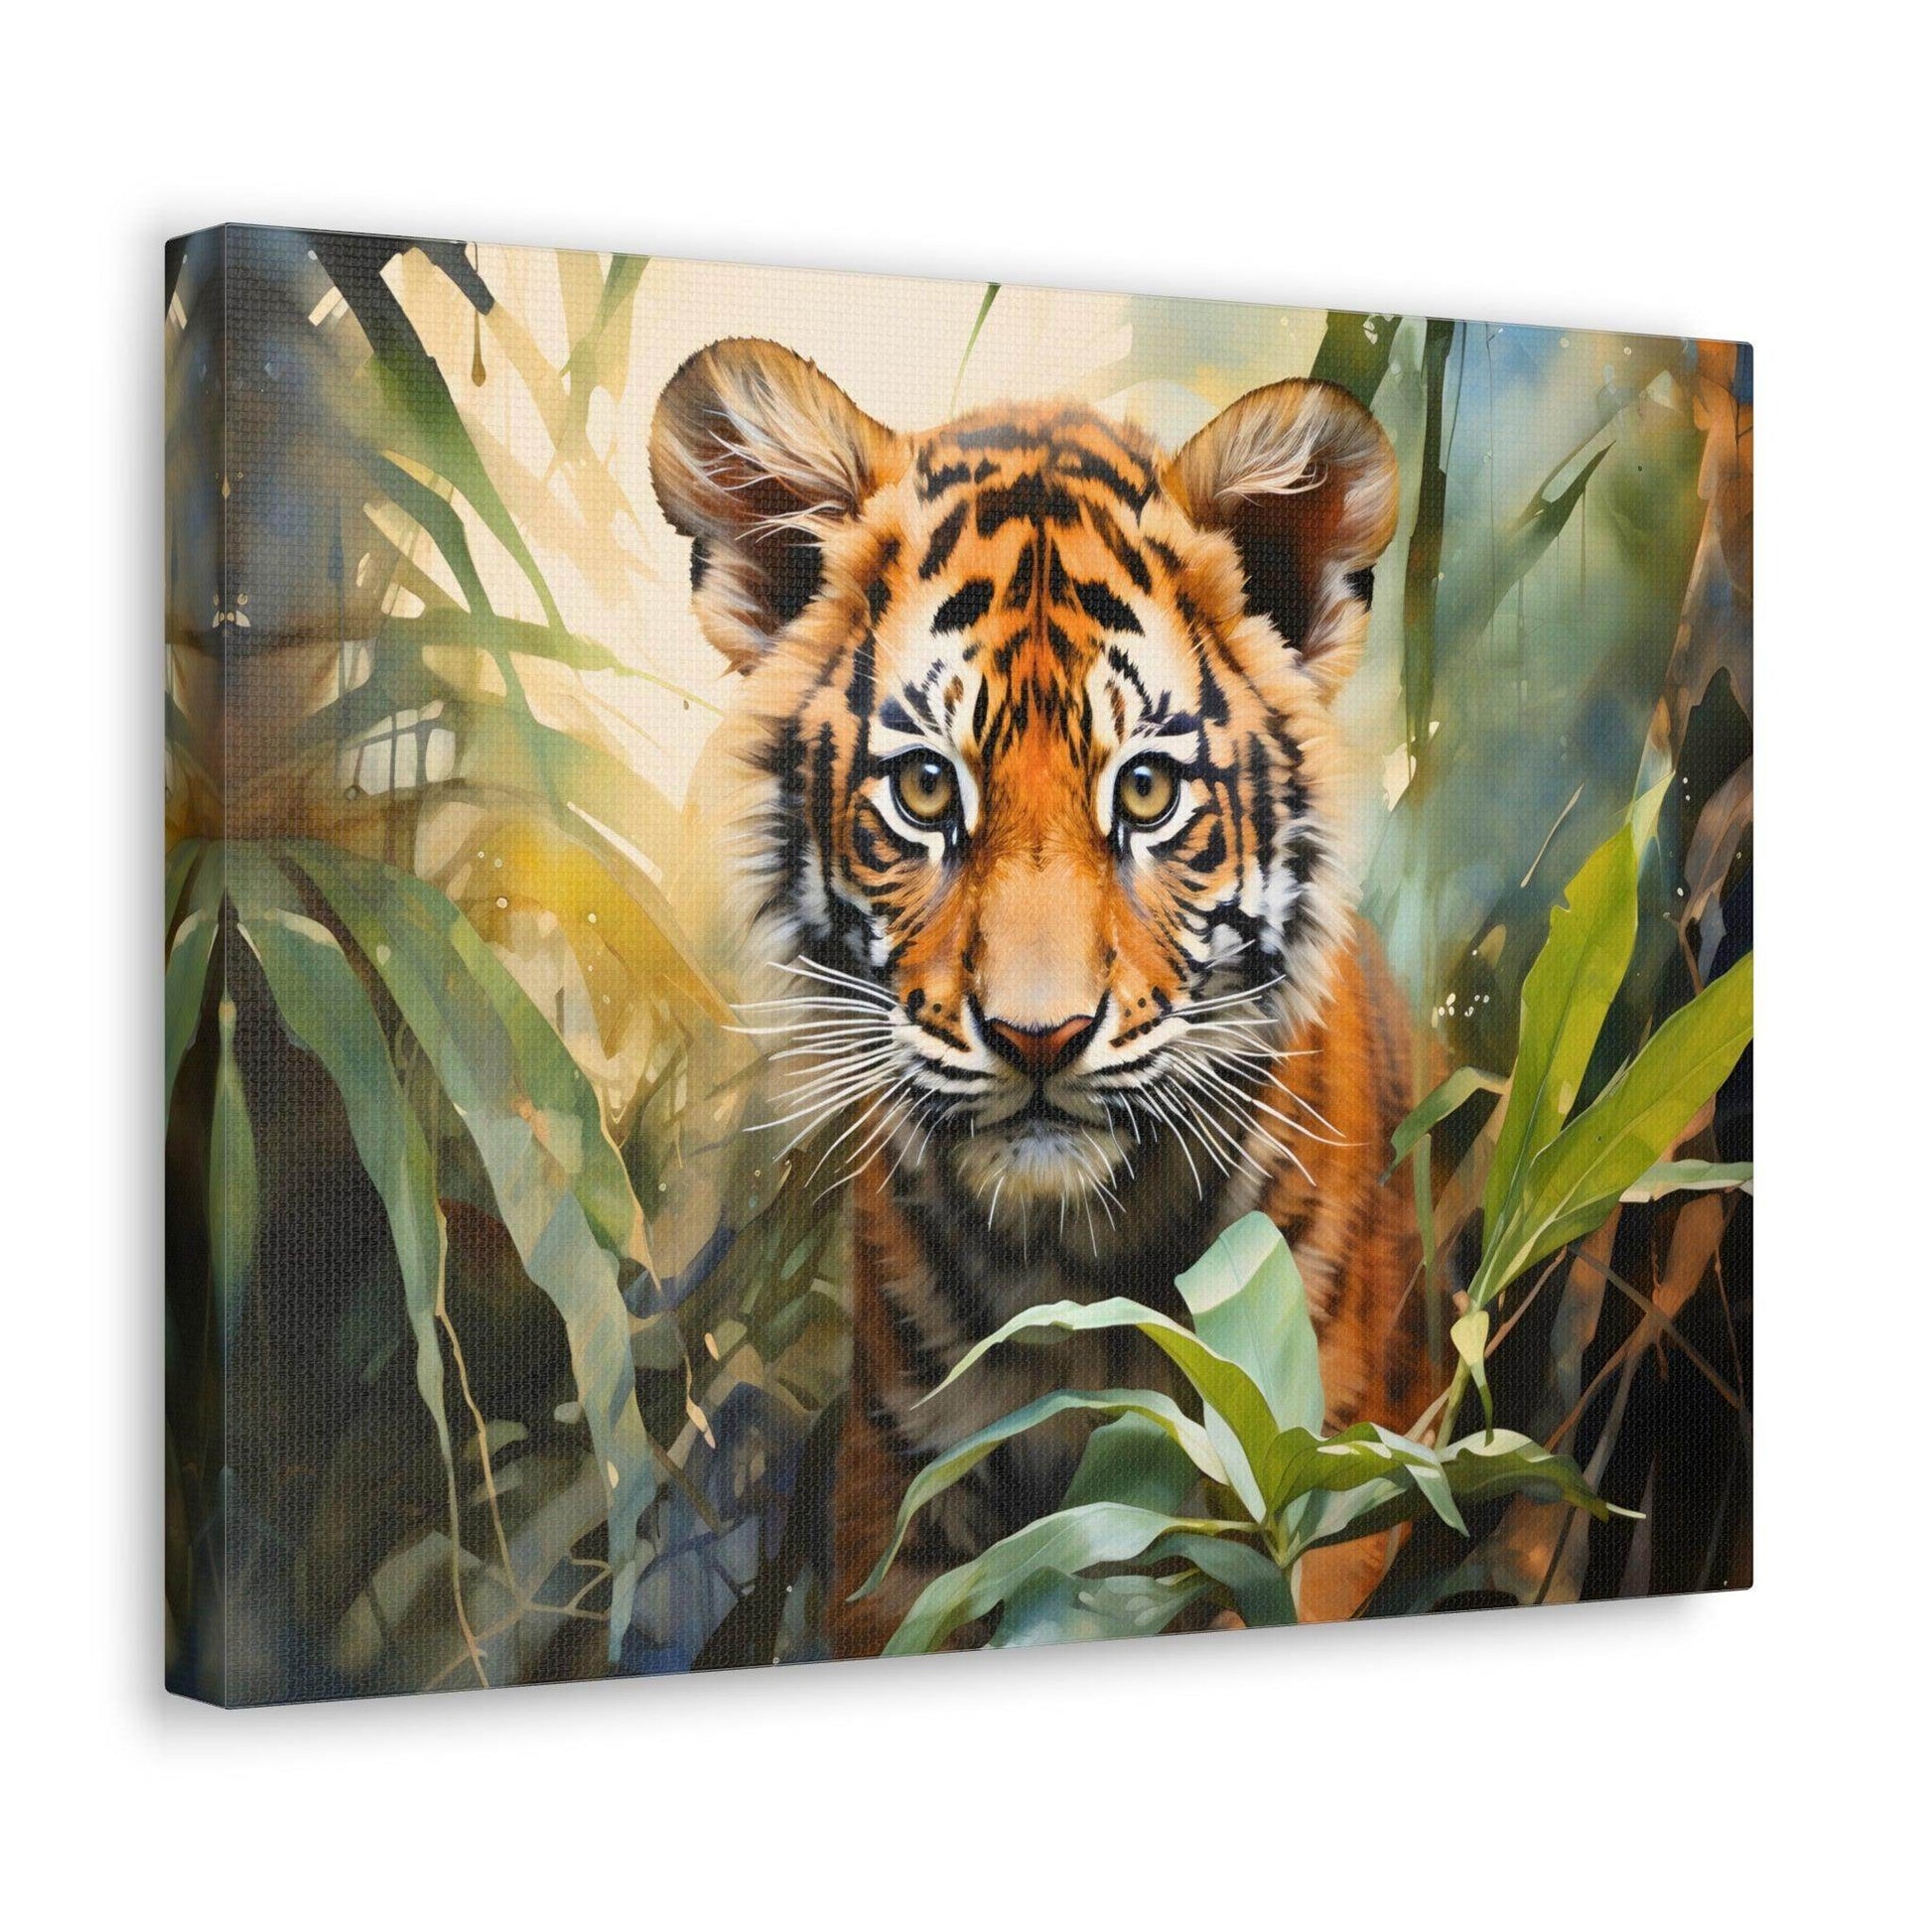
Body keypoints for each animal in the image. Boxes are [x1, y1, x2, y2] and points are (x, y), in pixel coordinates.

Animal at [649, 337, 1425, 1656]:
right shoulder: (900, 1507)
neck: (1073, 1268)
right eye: (922, 788)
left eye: (1148, 790)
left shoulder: (1317, 1495)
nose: (1037, 1036)